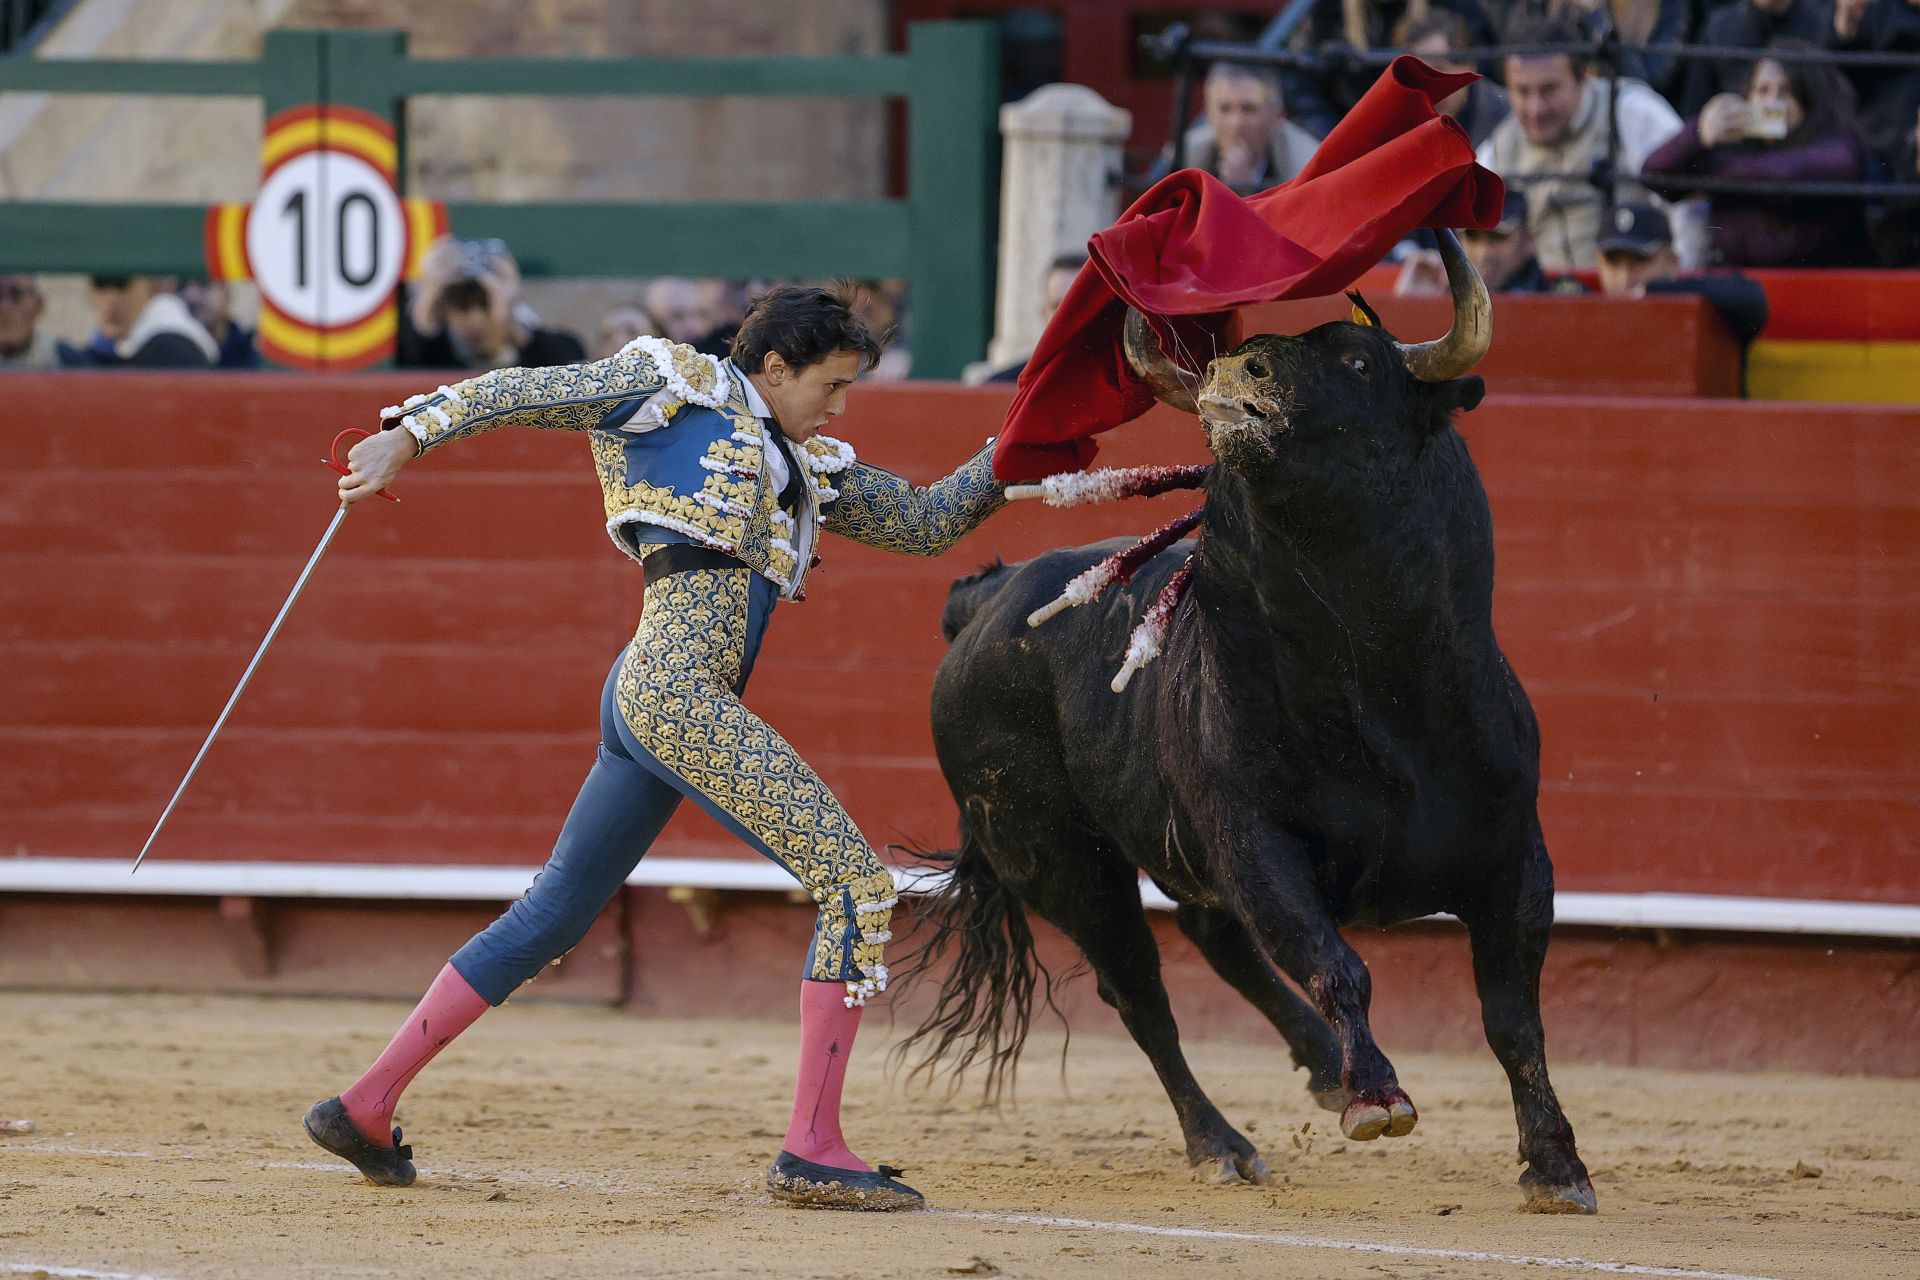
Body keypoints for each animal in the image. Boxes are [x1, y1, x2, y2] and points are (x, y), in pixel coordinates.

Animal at [906, 280, 1597, 1212]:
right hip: (1063, 863)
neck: (1380, 689)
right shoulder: (1256, 842)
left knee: (1216, 940)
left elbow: (1514, 1015)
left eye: (1360, 360)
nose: (1239, 365)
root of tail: (987, 600)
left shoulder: (1515, 855)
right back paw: (1223, 1142)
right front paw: (1378, 1097)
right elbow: (1336, 963)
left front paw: (1556, 1166)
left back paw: (1321, 1072)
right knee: (1142, 993)